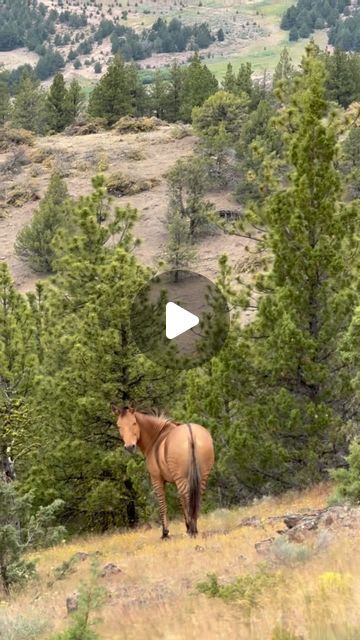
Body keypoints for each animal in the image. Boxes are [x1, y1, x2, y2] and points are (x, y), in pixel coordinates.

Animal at [112, 408, 214, 536]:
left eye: (134, 423)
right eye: (119, 426)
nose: (130, 446)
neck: (156, 438)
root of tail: (190, 433)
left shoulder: (157, 480)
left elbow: (163, 505)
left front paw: (165, 533)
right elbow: (180, 502)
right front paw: (186, 526)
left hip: (181, 478)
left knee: (187, 497)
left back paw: (192, 530)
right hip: (202, 476)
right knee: (196, 498)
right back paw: (193, 528)